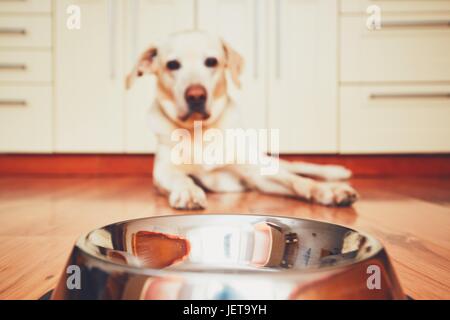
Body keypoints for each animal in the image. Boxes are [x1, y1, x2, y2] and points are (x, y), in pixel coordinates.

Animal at [126, 30, 358, 210]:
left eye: (211, 62)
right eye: (172, 65)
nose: (196, 96)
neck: (200, 131)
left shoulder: (256, 174)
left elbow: (298, 181)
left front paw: (328, 191)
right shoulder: (164, 172)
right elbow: (179, 178)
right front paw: (188, 191)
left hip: (264, 159)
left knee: (298, 166)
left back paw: (335, 172)